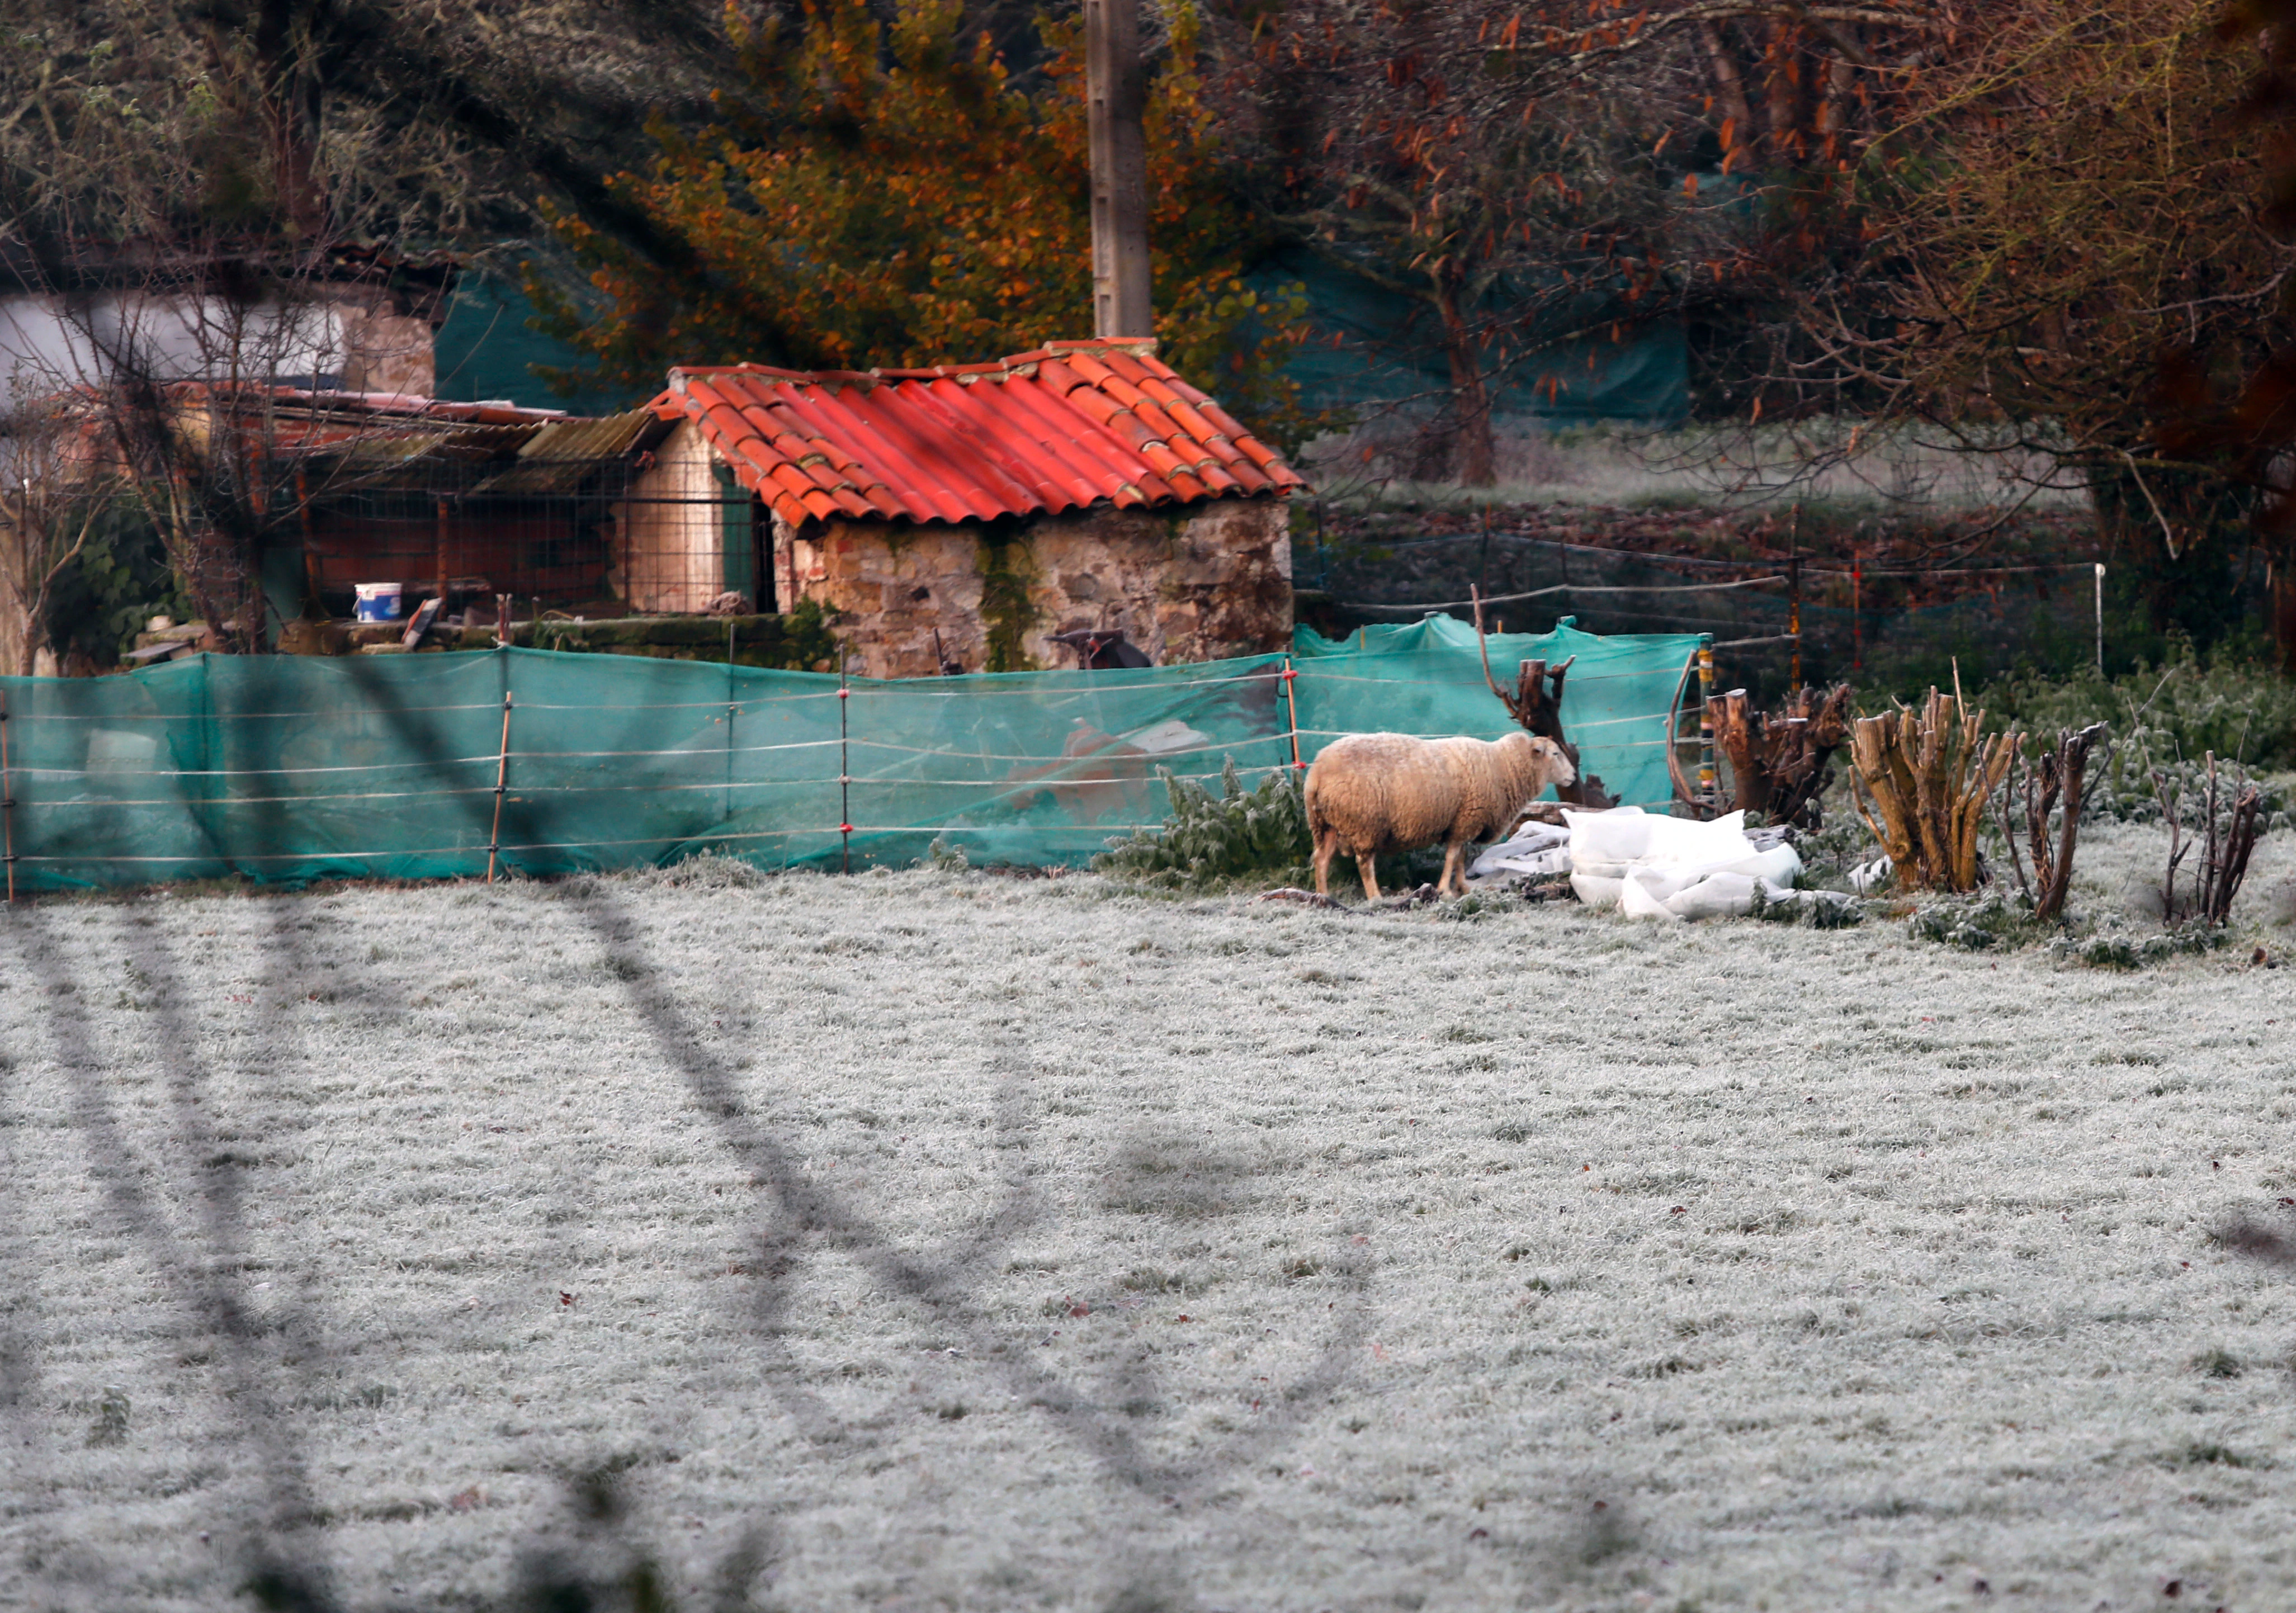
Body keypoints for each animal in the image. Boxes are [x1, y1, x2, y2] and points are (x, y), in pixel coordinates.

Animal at [1313, 734, 1579, 904]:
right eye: (1555, 753)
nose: (1574, 776)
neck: (1504, 766)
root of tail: (1319, 771)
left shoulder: (1462, 821)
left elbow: (1460, 856)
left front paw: (1463, 887)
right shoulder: (1466, 820)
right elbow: (1453, 856)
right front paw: (1445, 890)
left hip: (1325, 825)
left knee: (1321, 859)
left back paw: (1323, 895)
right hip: (1364, 823)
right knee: (1364, 863)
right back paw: (1375, 897)